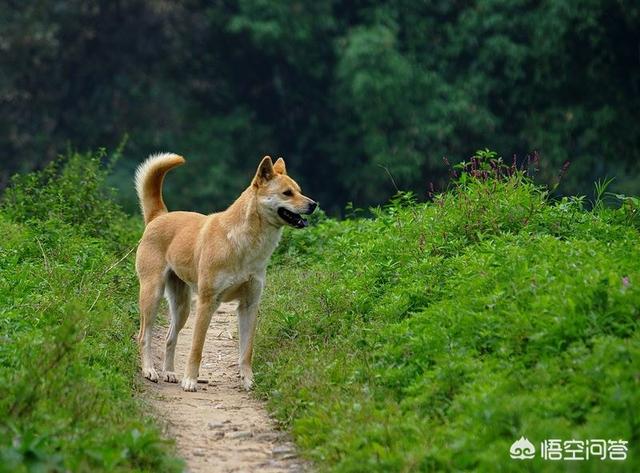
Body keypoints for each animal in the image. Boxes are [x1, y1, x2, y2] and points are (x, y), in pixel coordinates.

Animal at [136, 153, 318, 390]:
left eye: (299, 190)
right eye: (287, 193)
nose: (314, 204)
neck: (243, 243)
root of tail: (159, 216)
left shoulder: (249, 305)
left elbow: (246, 351)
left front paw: (248, 381)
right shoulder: (207, 303)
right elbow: (196, 348)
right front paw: (190, 380)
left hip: (182, 306)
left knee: (169, 338)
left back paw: (169, 372)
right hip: (152, 295)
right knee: (144, 336)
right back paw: (149, 370)